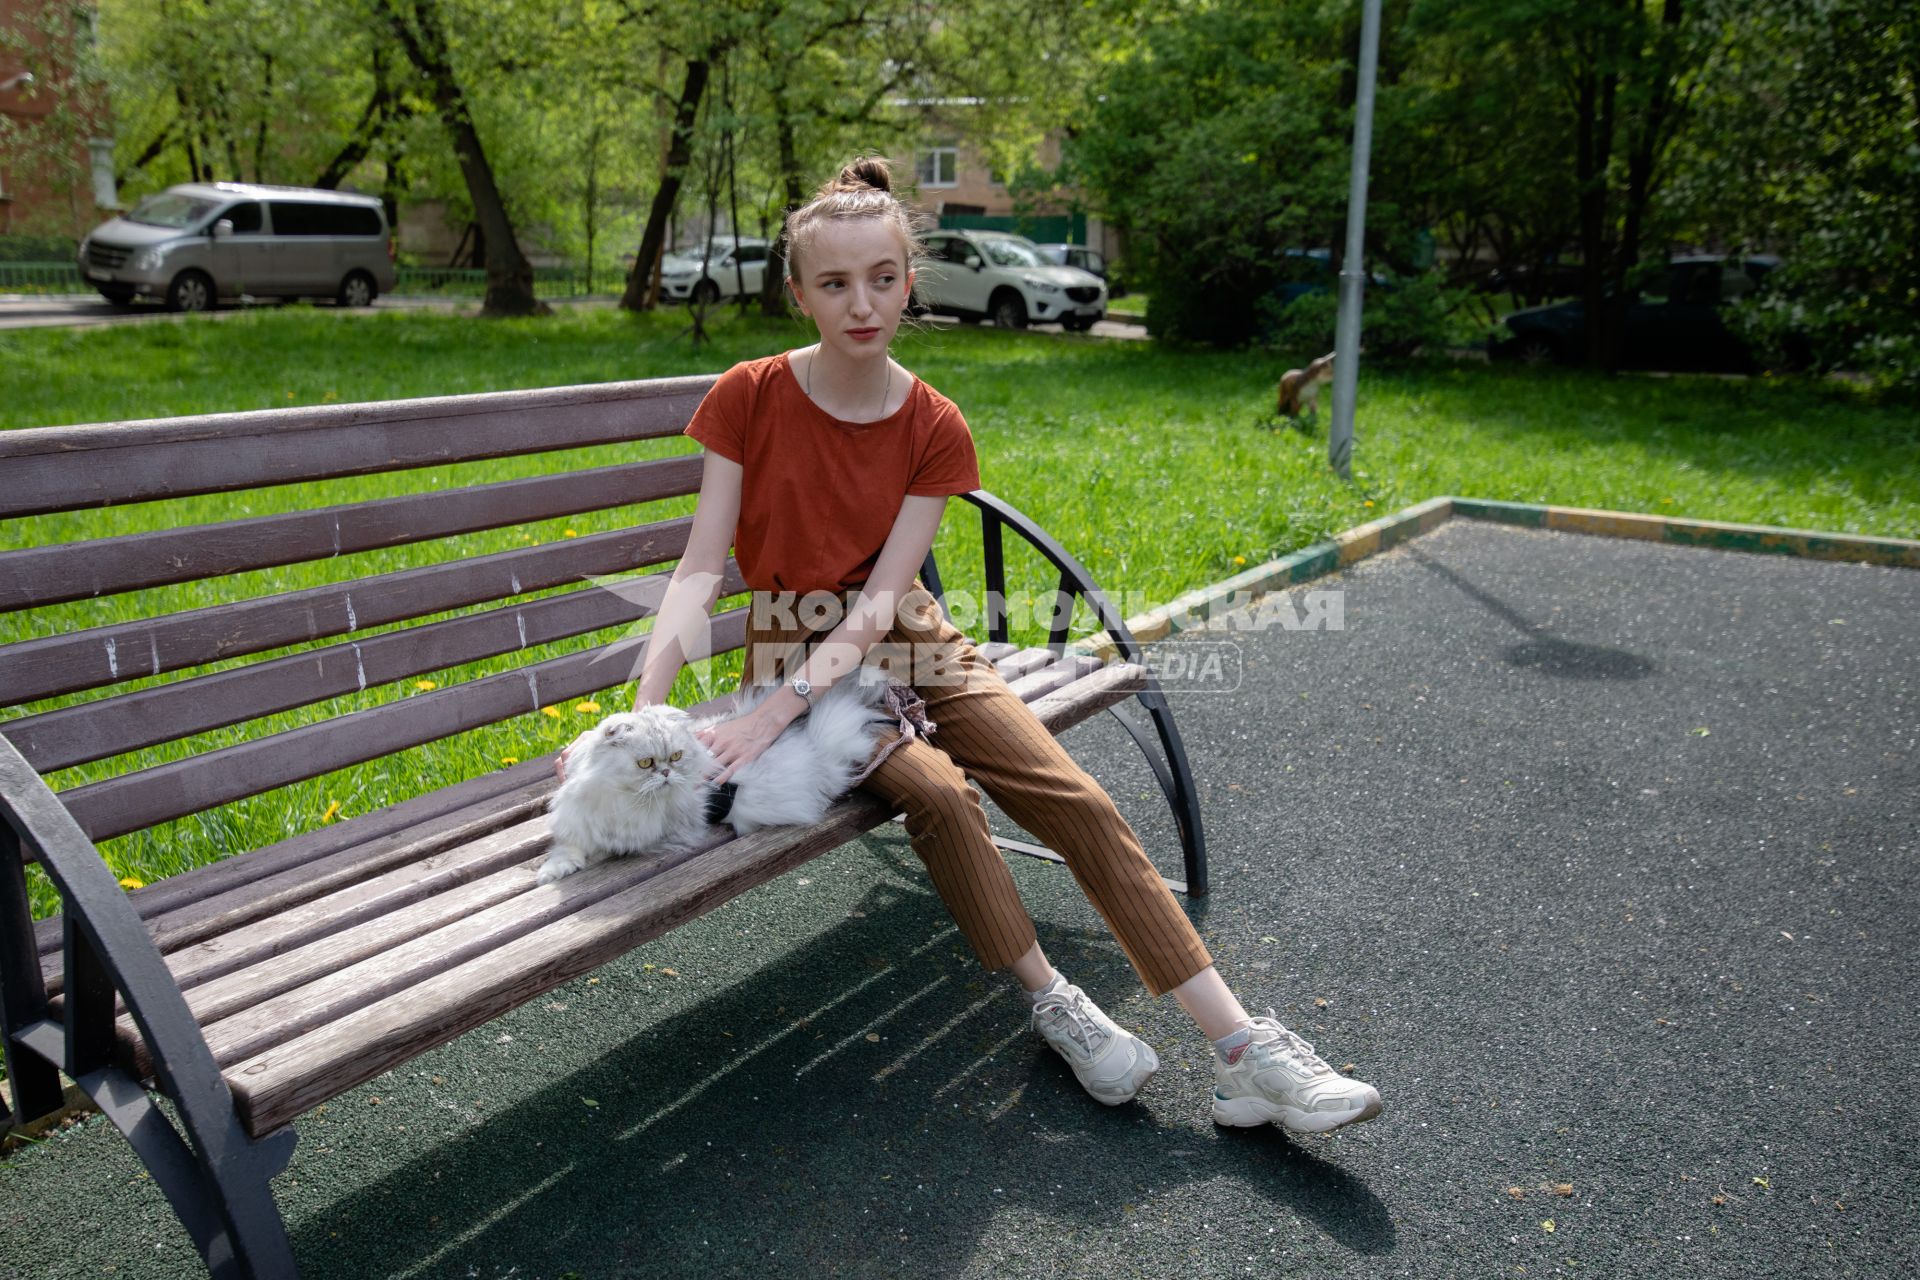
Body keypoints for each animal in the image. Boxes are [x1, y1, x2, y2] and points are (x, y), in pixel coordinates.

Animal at [541, 671, 898, 890]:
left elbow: (605, 851)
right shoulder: (581, 822)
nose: (666, 773)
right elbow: (567, 849)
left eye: (675, 757)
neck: (621, 798)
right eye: (645, 763)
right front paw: (553, 871)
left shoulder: (650, 835)